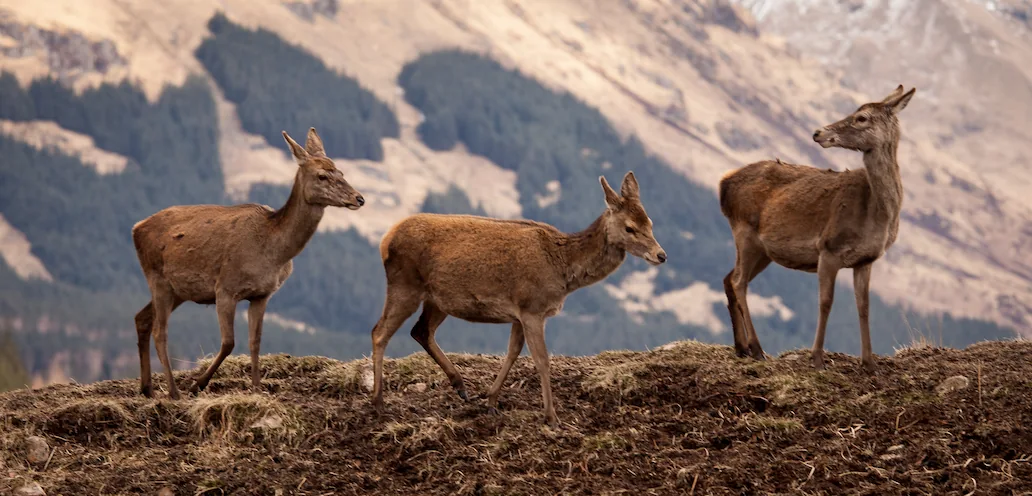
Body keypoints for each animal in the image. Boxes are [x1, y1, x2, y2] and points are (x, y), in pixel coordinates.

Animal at [131, 128, 364, 400]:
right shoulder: (225, 288)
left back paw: (147, 388)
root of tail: (136, 228)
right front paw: (197, 384)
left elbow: (256, 341)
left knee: (142, 318)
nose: (359, 198)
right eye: (322, 175)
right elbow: (229, 342)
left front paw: (257, 387)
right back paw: (173, 391)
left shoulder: (262, 294)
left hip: (177, 290)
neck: (273, 252)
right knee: (160, 332)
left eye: (341, 172)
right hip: (156, 276)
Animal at [368, 171, 666, 427]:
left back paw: (461, 386)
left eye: (650, 222)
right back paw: (379, 403)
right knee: (380, 332)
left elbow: (513, 352)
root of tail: (385, 240)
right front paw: (551, 417)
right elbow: (542, 359)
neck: (563, 269)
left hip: (438, 299)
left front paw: (491, 401)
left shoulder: (519, 312)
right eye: (629, 228)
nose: (661, 255)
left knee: (420, 331)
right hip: (405, 284)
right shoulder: (532, 307)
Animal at [718, 85, 916, 373]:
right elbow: (825, 302)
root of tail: (723, 183)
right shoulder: (828, 247)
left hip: (762, 250)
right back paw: (756, 348)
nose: (818, 132)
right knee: (738, 282)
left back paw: (741, 347)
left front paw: (869, 363)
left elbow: (864, 306)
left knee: (728, 278)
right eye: (855, 111)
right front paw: (818, 358)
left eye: (862, 118)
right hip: (745, 232)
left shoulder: (866, 259)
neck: (877, 213)